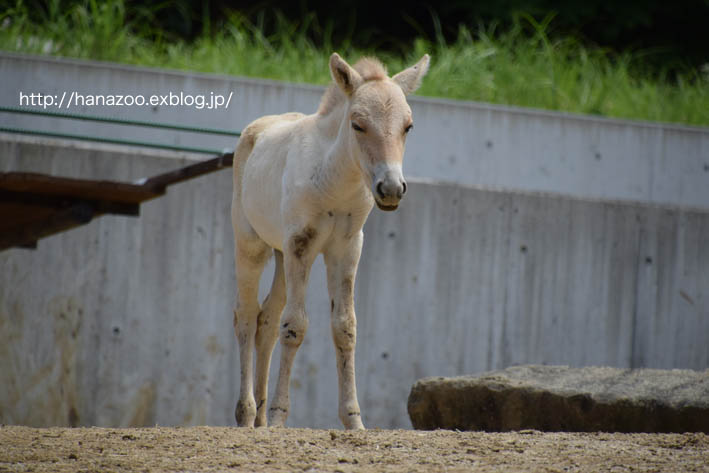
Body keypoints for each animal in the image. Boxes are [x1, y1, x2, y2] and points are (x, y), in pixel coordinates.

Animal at [232, 51, 428, 428]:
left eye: (408, 126)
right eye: (357, 124)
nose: (391, 189)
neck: (335, 184)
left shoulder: (346, 248)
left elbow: (344, 327)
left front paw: (353, 420)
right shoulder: (302, 243)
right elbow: (295, 326)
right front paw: (279, 418)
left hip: (281, 253)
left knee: (267, 319)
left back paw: (259, 418)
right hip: (252, 245)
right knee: (246, 316)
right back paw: (248, 414)